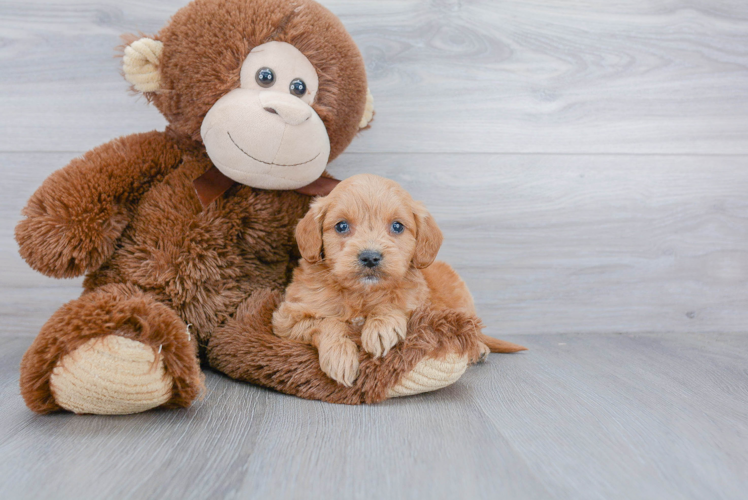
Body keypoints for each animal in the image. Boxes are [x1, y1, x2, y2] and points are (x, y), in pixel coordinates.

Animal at [272, 174, 524, 384]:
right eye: (341, 226)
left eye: (397, 226)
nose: (370, 257)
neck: (362, 294)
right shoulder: (287, 318)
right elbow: (327, 322)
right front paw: (339, 355)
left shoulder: (421, 307)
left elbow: (397, 302)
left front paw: (381, 326)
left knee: (470, 331)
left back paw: (478, 348)